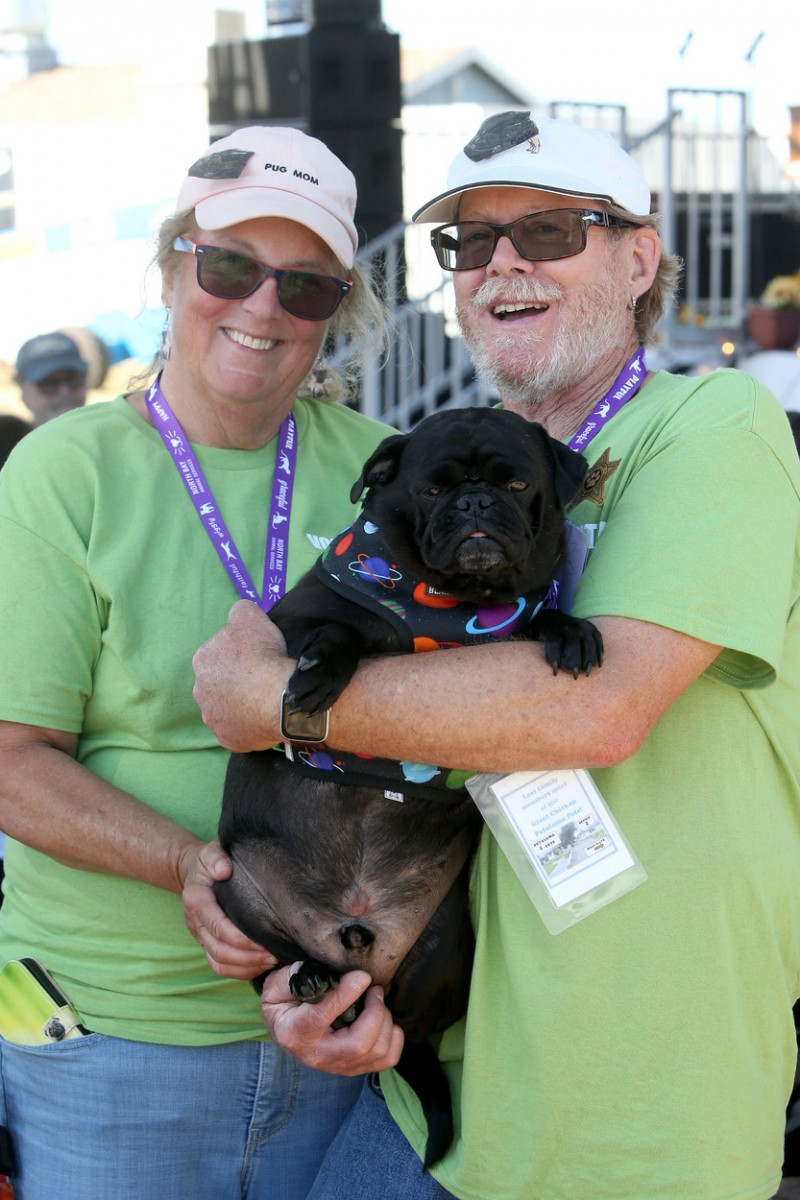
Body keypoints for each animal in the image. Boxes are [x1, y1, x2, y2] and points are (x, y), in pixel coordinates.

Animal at [212, 408, 599, 1166]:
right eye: (431, 489)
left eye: (516, 483)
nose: (475, 504)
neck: (451, 605)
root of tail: (355, 937)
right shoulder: (289, 628)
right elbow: (335, 631)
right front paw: (318, 675)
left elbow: (537, 614)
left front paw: (568, 629)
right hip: (233, 893)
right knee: (288, 964)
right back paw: (312, 979)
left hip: (446, 948)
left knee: (402, 1026)